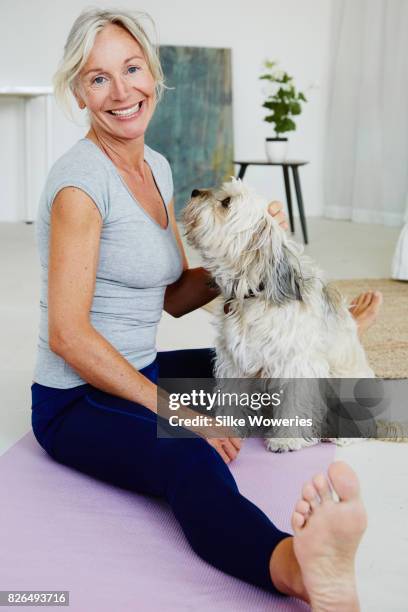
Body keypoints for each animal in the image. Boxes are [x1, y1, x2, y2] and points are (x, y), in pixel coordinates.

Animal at [183, 177, 380, 450]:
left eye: (226, 202)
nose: (193, 191)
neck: (255, 293)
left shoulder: (297, 364)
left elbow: (293, 405)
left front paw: (286, 439)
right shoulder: (234, 363)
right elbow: (233, 400)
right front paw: (229, 429)